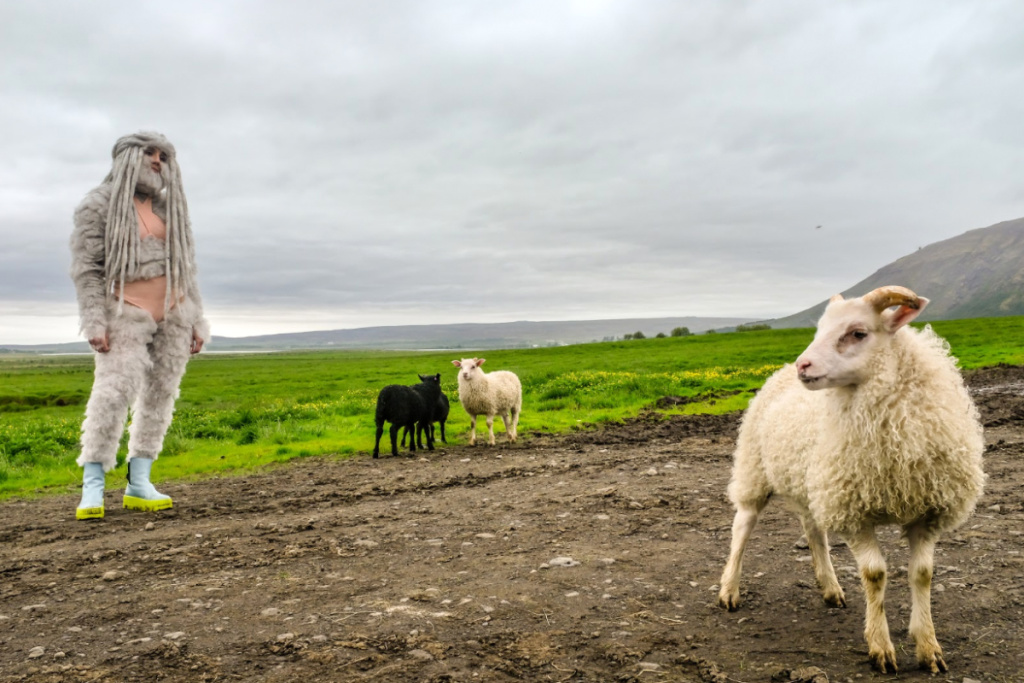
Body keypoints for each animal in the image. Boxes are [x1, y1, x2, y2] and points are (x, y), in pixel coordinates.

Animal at [716, 286, 987, 675]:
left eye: (858, 333)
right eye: (819, 330)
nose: (803, 366)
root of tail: (777, 374)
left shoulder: (928, 513)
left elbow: (922, 574)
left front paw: (929, 647)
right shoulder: (853, 511)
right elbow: (875, 575)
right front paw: (880, 648)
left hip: (814, 483)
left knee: (814, 531)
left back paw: (830, 588)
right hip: (755, 470)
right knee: (742, 527)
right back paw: (729, 590)